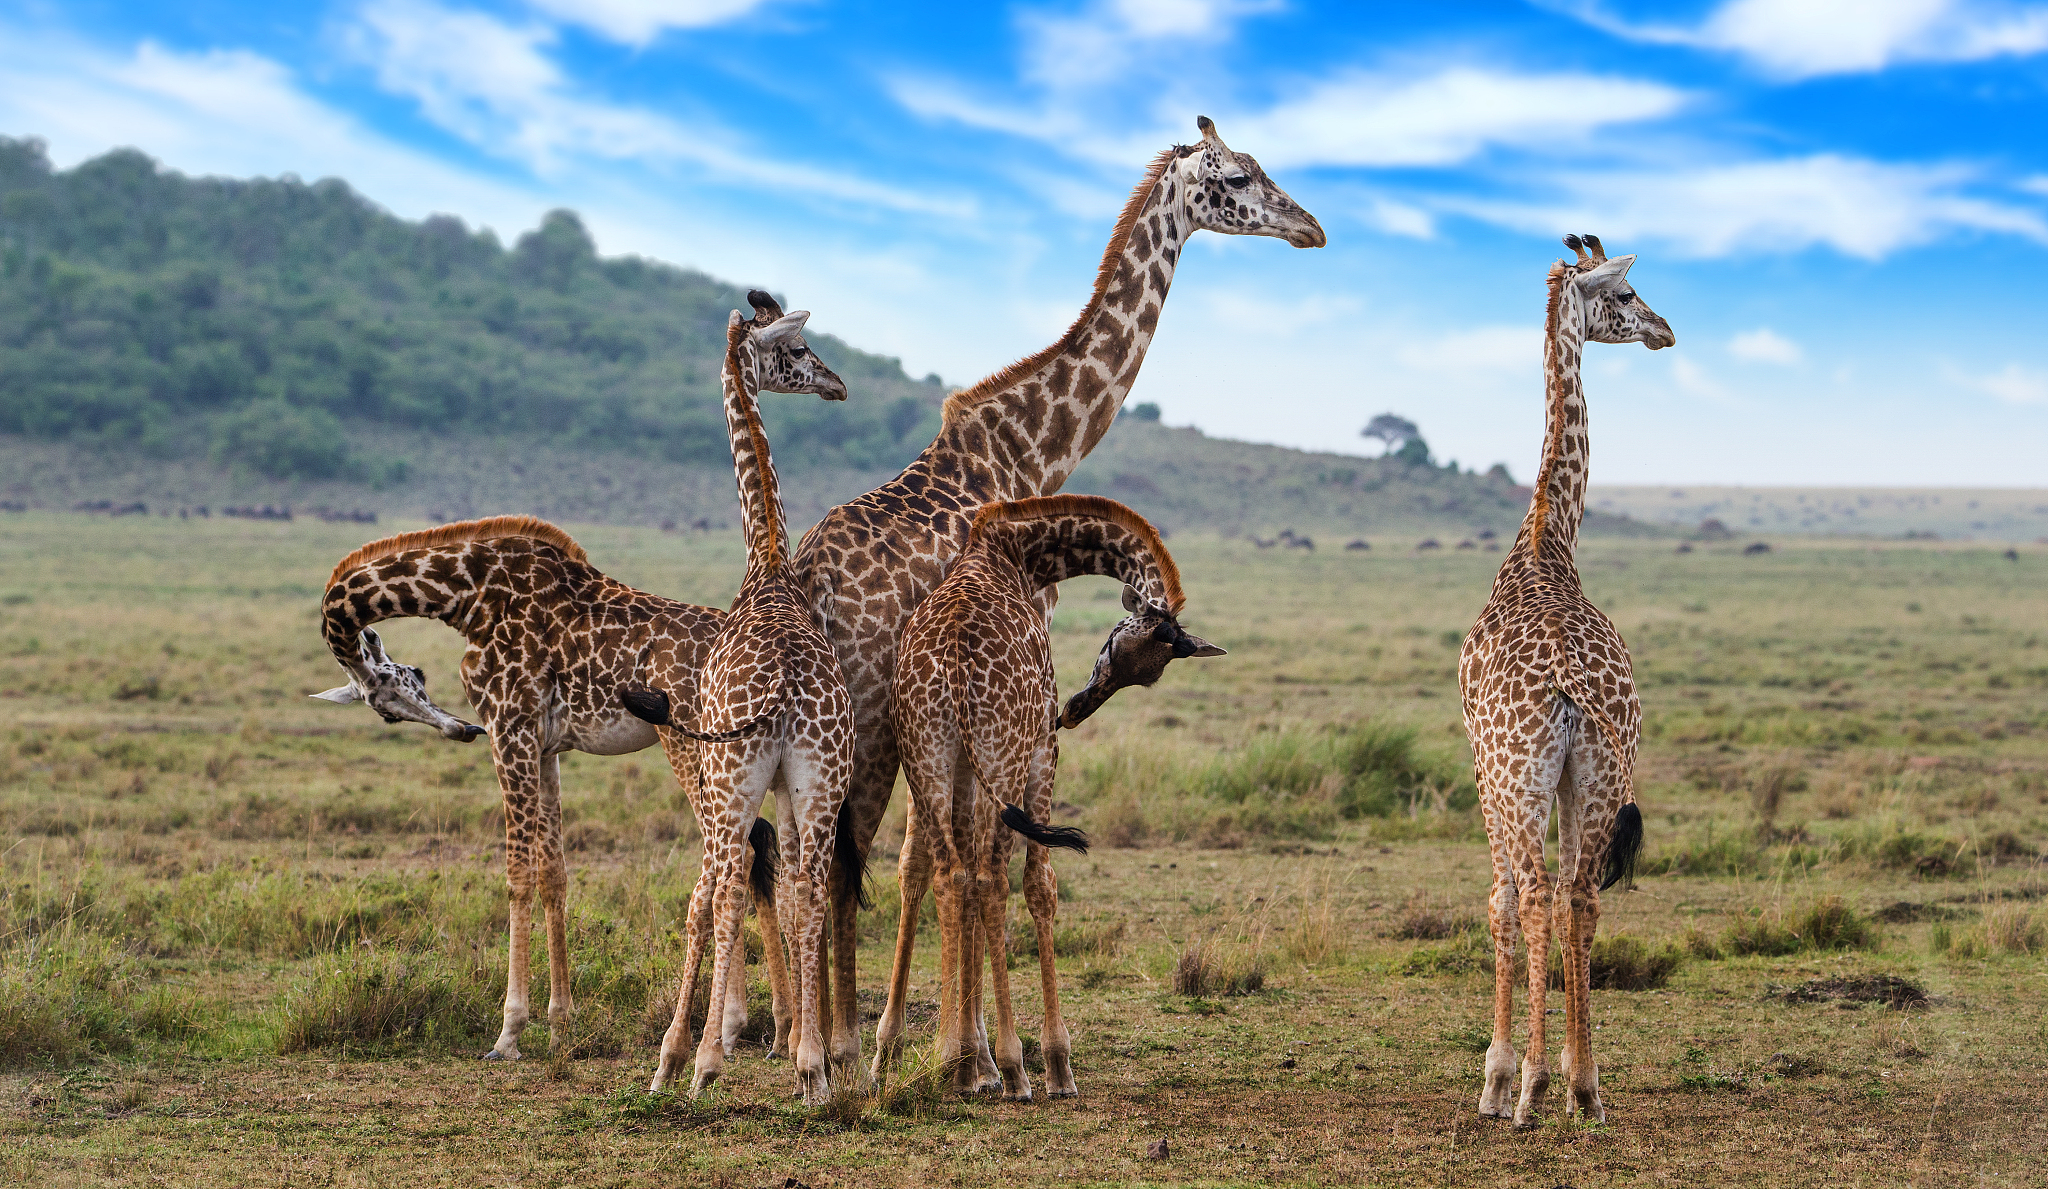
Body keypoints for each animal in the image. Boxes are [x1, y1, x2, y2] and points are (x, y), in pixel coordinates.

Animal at [311, 518, 793, 1061]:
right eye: (388, 711)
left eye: (410, 681)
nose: (461, 730)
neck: (470, 594)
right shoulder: (545, 747)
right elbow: (553, 874)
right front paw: (561, 1023)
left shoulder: (509, 727)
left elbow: (518, 876)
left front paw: (509, 1033)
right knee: (755, 850)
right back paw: (769, 1031)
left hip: (692, 747)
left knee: (736, 858)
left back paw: (735, 1030)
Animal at [622, 292, 853, 1104]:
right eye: (800, 350)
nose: (838, 384)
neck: (767, 562)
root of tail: (782, 693)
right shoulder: (791, 785)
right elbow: (794, 895)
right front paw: (803, 1054)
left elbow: (723, 899)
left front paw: (688, 1057)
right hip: (820, 779)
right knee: (809, 887)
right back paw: (814, 1068)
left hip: (731, 780)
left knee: (722, 894)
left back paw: (692, 1062)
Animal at [877, 494, 1223, 1100]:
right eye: (1112, 646)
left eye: (1148, 676)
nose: (1075, 710)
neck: (1014, 553)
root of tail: (957, 667)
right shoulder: (1043, 749)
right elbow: (1041, 885)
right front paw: (1053, 1063)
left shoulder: (962, 770)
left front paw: (972, 1059)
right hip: (1008, 753)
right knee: (991, 879)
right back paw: (1014, 1067)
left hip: (930, 758)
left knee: (951, 875)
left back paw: (951, 1058)